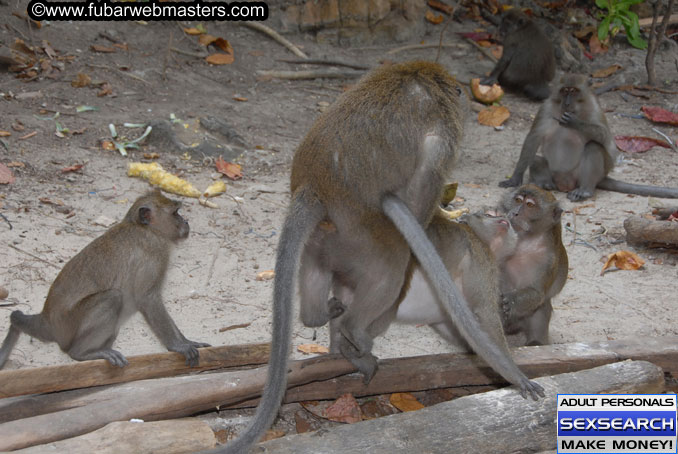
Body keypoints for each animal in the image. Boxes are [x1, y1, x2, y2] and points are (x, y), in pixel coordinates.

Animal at [0, 190, 210, 368]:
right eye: (175, 213)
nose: (185, 221)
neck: (144, 228)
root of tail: (46, 320)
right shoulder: (154, 252)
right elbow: (148, 299)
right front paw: (178, 346)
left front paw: (187, 341)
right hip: (69, 326)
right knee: (113, 297)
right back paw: (81, 353)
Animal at [216, 61, 548, 454]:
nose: (504, 219)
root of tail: (312, 188)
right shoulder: (444, 136)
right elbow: (480, 313)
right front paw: (515, 372)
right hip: (363, 235)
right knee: (392, 271)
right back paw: (354, 333)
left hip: (325, 241)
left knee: (325, 281)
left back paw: (326, 323)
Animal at [496, 184, 572, 344]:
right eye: (518, 200)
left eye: (530, 205)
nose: (515, 213)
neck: (525, 241)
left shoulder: (549, 260)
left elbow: (537, 293)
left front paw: (510, 301)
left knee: (541, 308)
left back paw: (535, 342)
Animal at [500, 74, 678, 200]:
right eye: (564, 90)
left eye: (574, 91)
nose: (567, 102)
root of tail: (565, 183)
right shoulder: (546, 108)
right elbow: (533, 138)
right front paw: (515, 178)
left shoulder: (595, 108)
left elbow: (606, 139)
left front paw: (575, 122)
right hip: (554, 173)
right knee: (536, 159)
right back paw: (545, 183)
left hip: (583, 176)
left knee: (594, 147)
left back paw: (584, 191)